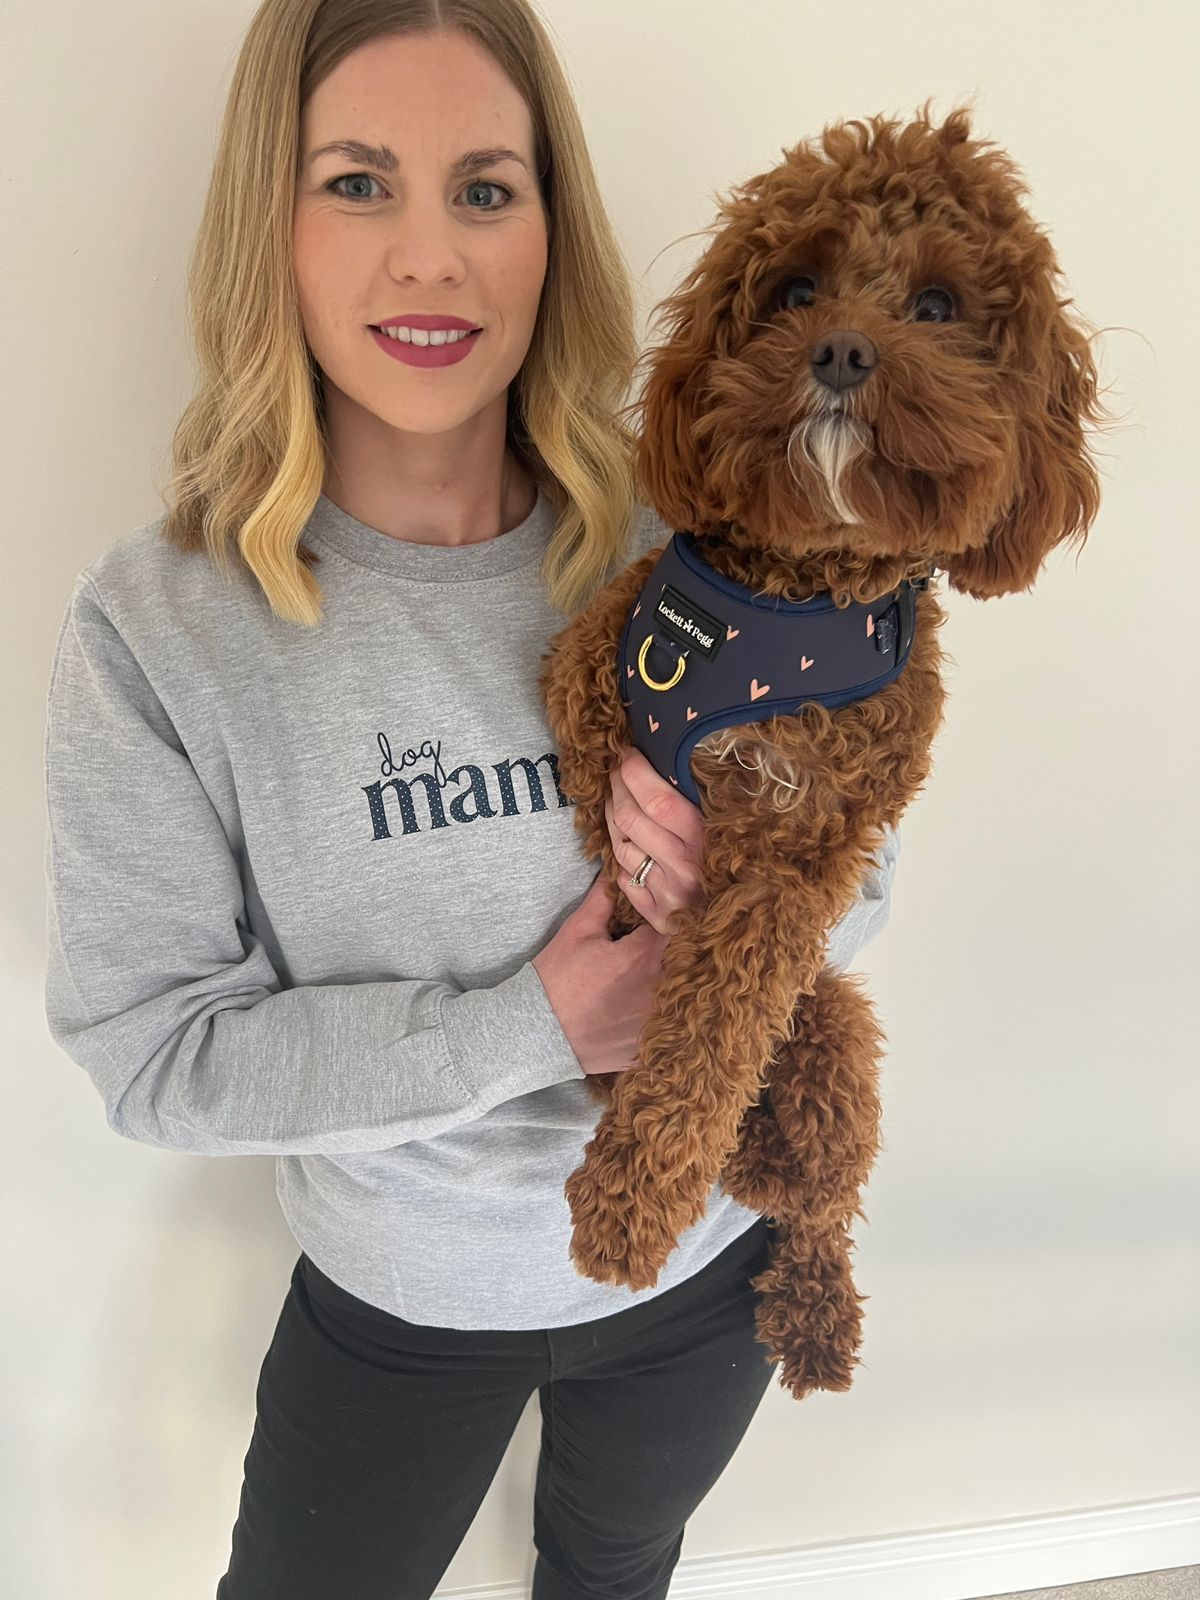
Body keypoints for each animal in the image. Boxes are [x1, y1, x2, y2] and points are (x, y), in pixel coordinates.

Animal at [540, 103, 1113, 1401]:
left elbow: (709, 1029)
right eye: (795, 287)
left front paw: (628, 1208)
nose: (844, 351)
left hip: (838, 1037)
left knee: (814, 1202)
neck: (787, 595)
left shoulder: (793, 860)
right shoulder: (593, 675)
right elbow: (601, 801)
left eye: (940, 306)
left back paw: (812, 1306)